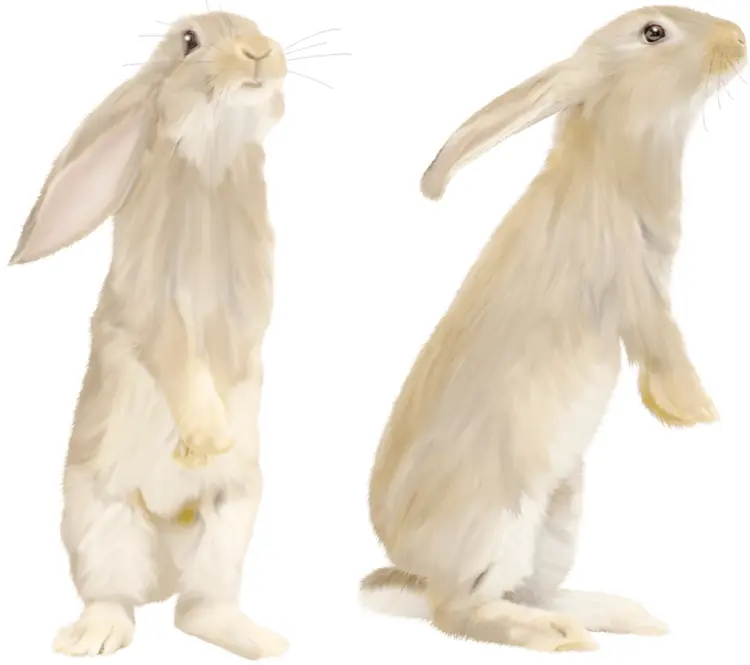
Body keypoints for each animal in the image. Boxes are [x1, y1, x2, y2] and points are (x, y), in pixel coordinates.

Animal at [9, 11, 290, 660]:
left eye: (257, 26)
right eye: (188, 41)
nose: (259, 52)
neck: (209, 163)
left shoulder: (247, 310)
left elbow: (236, 355)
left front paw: (213, 443)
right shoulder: (155, 304)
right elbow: (175, 354)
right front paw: (207, 437)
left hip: (230, 518)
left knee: (199, 610)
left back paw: (263, 640)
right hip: (101, 519)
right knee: (117, 600)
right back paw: (89, 638)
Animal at [360, 5, 746, 653]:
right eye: (654, 33)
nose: (738, 39)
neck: (612, 160)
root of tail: (413, 569)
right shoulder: (633, 284)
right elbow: (663, 345)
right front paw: (697, 412)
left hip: (559, 519)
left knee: (527, 590)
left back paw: (625, 615)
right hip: (498, 525)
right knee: (458, 613)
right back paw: (560, 635)